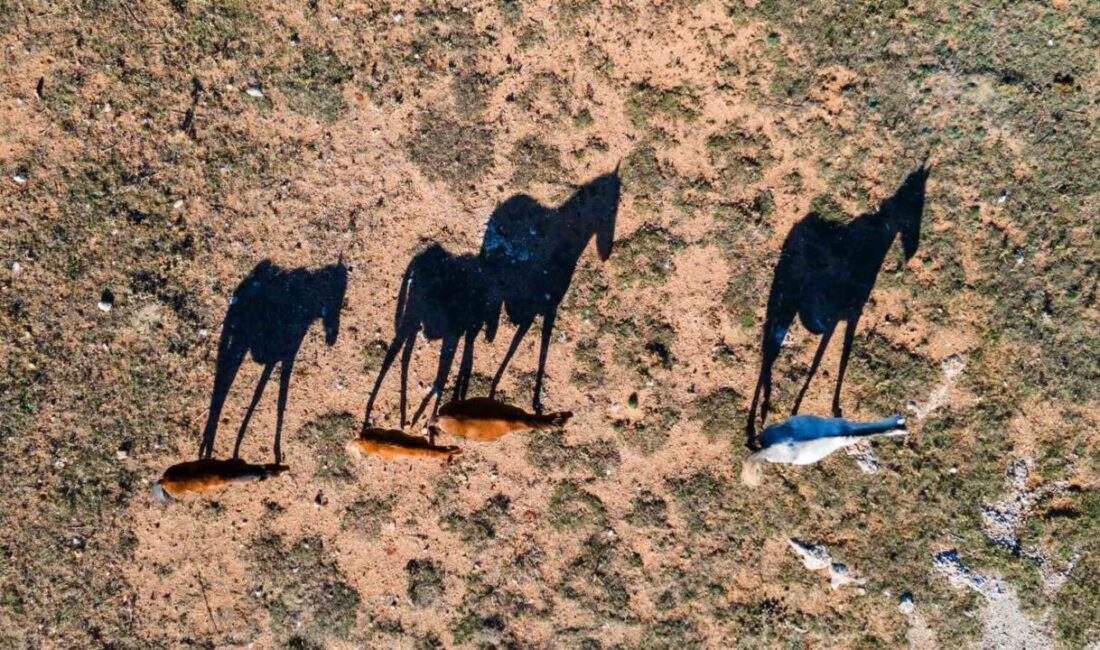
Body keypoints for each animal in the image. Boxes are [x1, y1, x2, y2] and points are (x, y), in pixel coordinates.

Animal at [200, 258, 345, 461]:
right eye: (335, 295)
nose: (332, 339)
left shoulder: (282, 358)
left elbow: (268, 398)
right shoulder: (282, 358)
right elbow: (270, 399)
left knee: (221, 388)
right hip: (238, 343)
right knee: (221, 388)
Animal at [748, 163, 928, 448]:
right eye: (915, 205)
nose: (912, 251)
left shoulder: (848, 317)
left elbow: (838, 361)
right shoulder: (839, 319)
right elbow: (820, 364)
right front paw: (799, 409)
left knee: (768, 356)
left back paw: (760, 423)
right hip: (784, 306)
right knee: (769, 354)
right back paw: (755, 425)